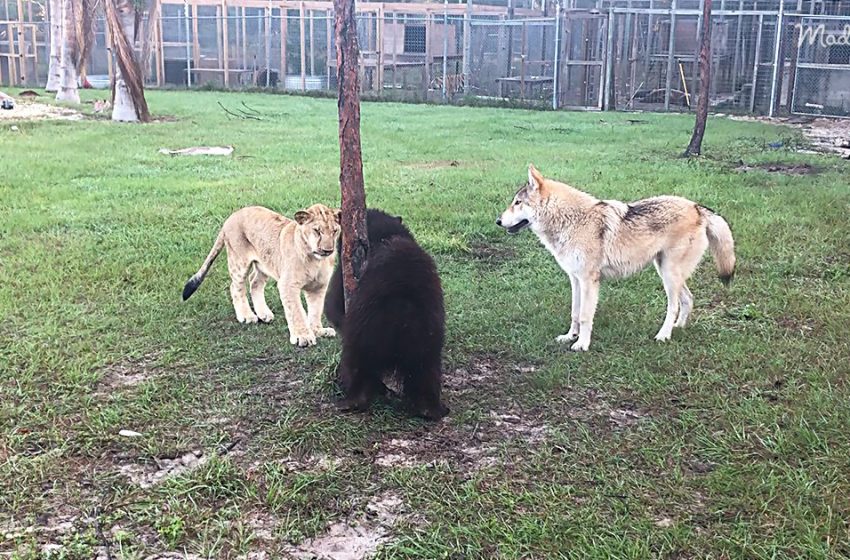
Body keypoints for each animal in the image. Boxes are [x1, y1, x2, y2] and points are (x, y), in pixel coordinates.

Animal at [494, 164, 732, 352]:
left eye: (517, 202)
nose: (498, 221)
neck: (572, 221)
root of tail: (697, 207)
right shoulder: (575, 279)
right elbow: (574, 313)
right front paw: (570, 336)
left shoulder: (589, 281)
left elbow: (585, 315)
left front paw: (582, 344)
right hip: (666, 271)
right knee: (688, 299)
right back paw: (678, 328)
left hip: (668, 274)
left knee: (673, 306)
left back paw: (663, 335)